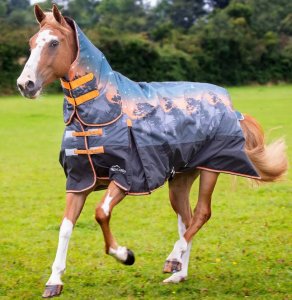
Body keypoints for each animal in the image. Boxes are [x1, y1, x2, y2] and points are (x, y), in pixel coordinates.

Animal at [16, 4, 288, 298]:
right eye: (32, 43)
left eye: (54, 43)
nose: (25, 84)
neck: (99, 114)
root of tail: (232, 108)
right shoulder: (80, 181)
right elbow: (65, 228)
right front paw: (54, 281)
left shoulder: (126, 176)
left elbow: (101, 213)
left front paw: (125, 255)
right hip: (180, 179)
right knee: (187, 218)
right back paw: (178, 273)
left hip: (211, 169)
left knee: (202, 213)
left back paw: (173, 258)